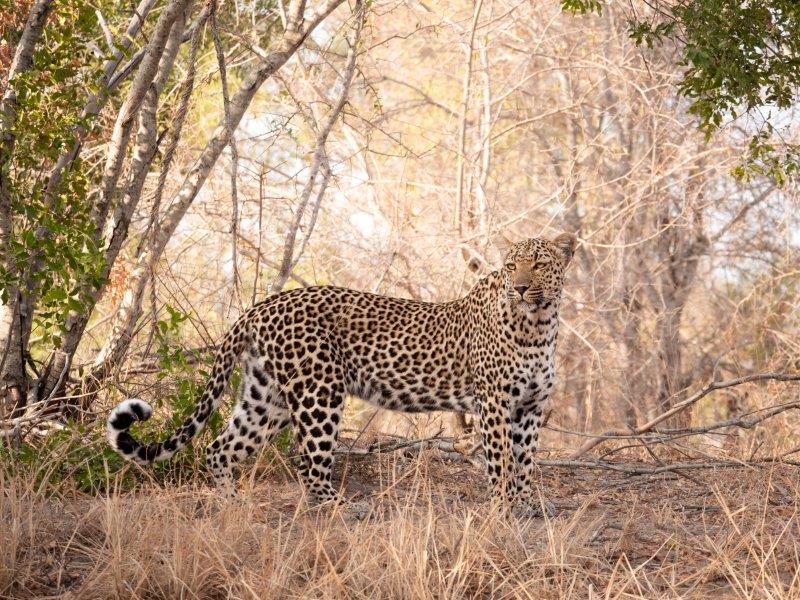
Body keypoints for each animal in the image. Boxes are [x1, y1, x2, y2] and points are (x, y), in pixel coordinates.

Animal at [109, 234, 580, 516]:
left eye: (539, 265)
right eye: (513, 266)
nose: (520, 287)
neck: (540, 324)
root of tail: (261, 306)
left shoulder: (531, 407)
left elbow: (525, 459)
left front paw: (527, 502)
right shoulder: (494, 403)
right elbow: (501, 460)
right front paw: (503, 507)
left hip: (267, 398)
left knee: (220, 448)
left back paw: (231, 506)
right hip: (318, 393)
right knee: (308, 462)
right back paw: (344, 508)